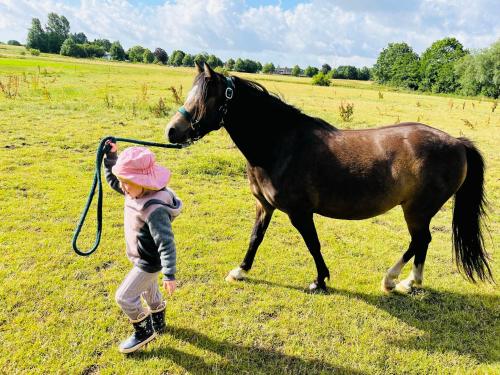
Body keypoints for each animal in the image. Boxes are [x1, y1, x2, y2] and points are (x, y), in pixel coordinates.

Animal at [165, 62, 492, 294]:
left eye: (204, 99)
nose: (171, 131)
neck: (280, 144)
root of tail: (456, 142)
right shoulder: (264, 206)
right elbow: (256, 237)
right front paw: (240, 271)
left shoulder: (300, 212)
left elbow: (313, 244)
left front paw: (320, 280)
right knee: (421, 242)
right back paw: (406, 282)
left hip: (417, 210)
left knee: (420, 239)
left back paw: (394, 280)